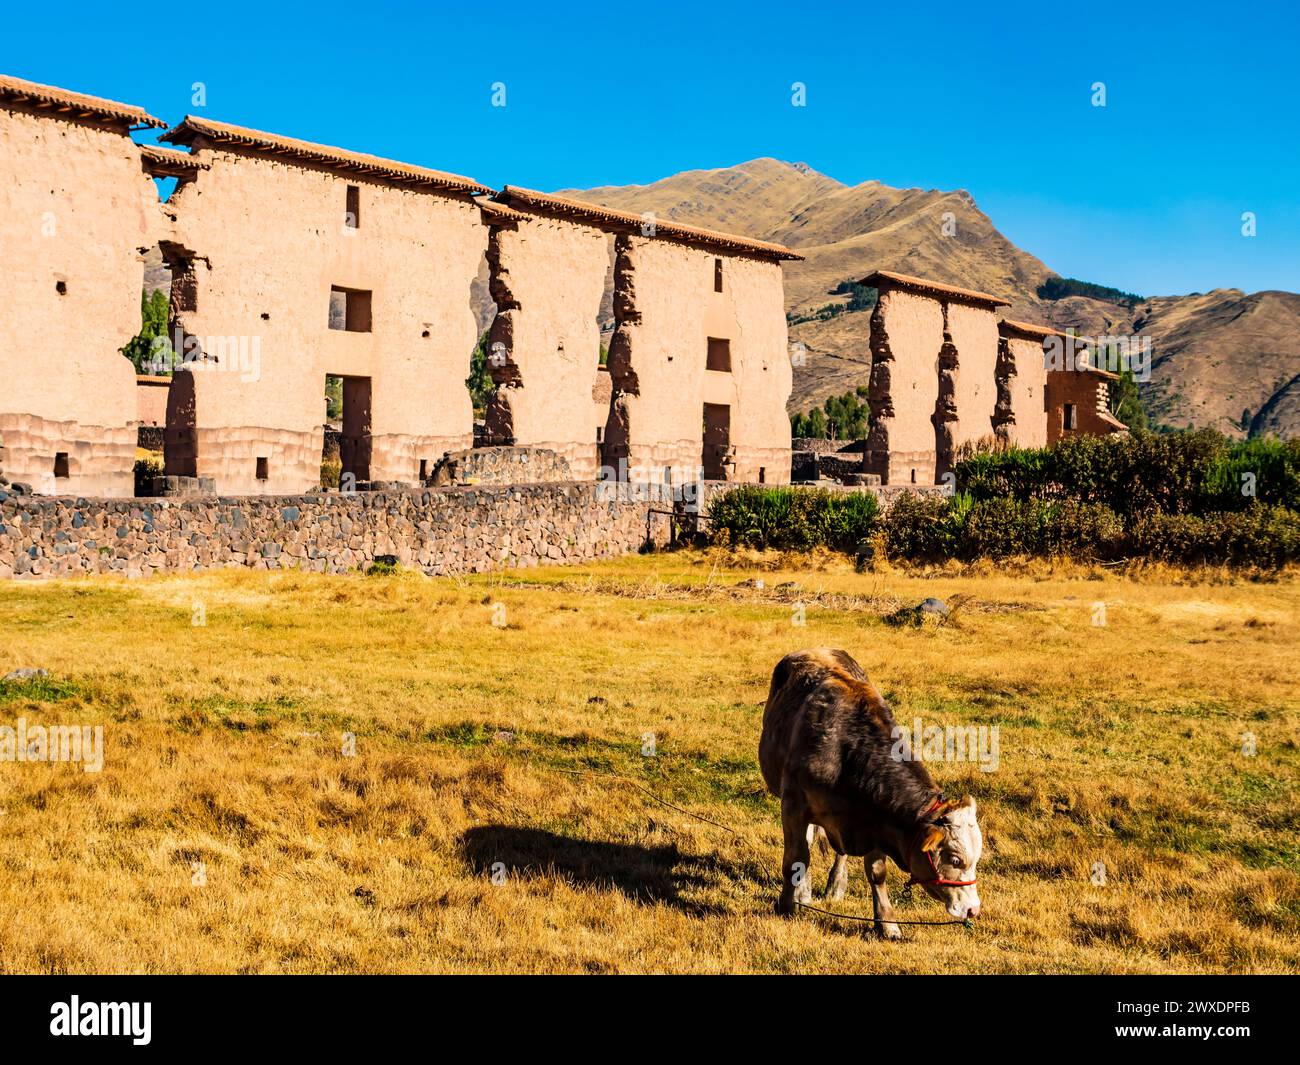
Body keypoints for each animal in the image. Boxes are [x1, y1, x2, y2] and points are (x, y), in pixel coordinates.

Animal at [759, 644, 977, 936]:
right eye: (954, 859)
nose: (973, 909)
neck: (844, 751)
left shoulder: (876, 818)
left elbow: (877, 872)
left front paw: (887, 923)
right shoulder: (793, 806)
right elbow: (796, 858)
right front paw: (787, 905)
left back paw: (835, 886)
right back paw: (803, 892)